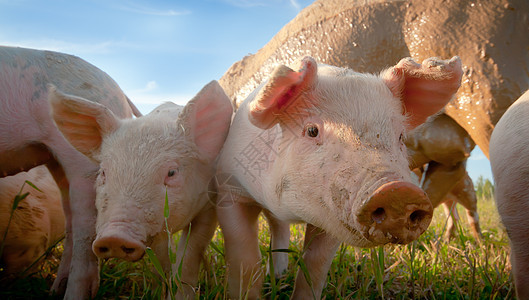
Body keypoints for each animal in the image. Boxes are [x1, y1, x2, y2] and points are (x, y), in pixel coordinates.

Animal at [49, 80, 231, 298]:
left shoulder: (209, 205)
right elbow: (161, 258)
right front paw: (158, 289)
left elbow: (189, 254)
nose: (114, 237)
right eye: (103, 172)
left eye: (171, 172)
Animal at [214, 55, 462, 298]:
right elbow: (246, 260)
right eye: (312, 130)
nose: (398, 192)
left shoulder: (332, 216)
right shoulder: (230, 189)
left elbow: (315, 265)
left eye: (400, 137)